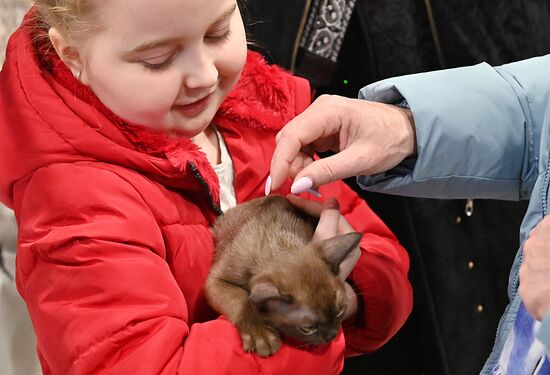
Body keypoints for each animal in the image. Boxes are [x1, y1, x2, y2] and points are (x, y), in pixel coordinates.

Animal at [205, 197, 364, 358]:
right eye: (308, 328)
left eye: (341, 311)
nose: (332, 336)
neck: (279, 243)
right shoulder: (216, 280)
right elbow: (242, 300)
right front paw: (261, 335)